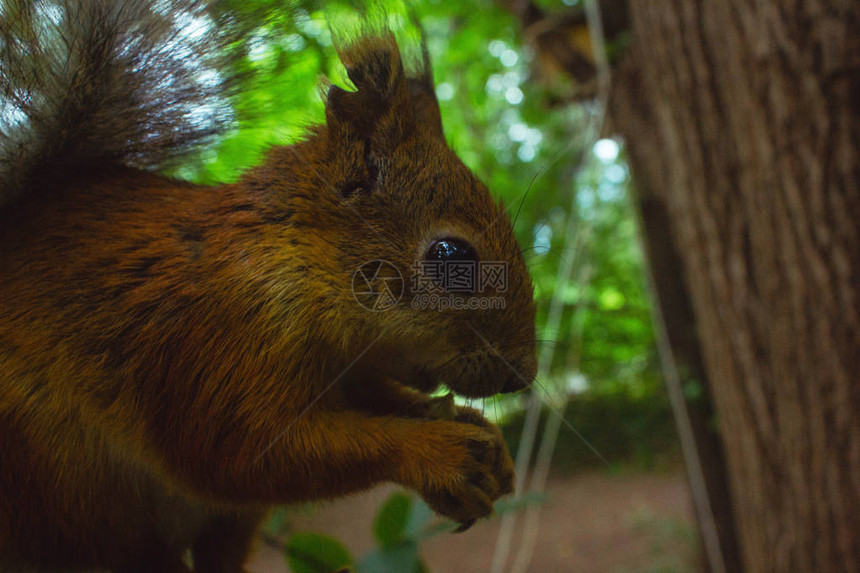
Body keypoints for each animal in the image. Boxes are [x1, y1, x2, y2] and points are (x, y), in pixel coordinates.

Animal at [1, 2, 536, 568]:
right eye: (452, 255)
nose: (522, 376)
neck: (295, 259)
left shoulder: (349, 369)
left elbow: (379, 397)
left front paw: (479, 435)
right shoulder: (222, 342)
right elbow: (241, 455)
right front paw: (437, 454)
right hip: (60, 479)